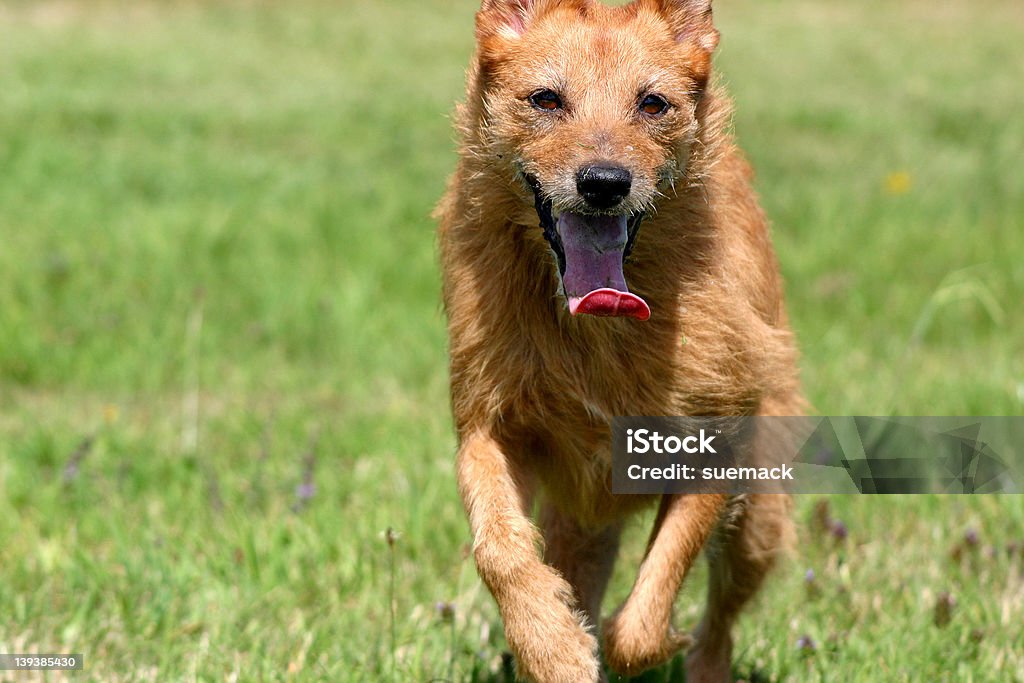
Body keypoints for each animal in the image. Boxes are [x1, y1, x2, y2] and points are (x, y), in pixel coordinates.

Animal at [432, 2, 798, 679]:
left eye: (653, 103)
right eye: (546, 99)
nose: (604, 182)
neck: (596, 327)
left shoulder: (715, 442)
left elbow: (644, 616)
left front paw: (629, 644)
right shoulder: (488, 429)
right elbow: (499, 550)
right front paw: (552, 646)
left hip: (758, 520)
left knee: (721, 620)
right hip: (582, 521)